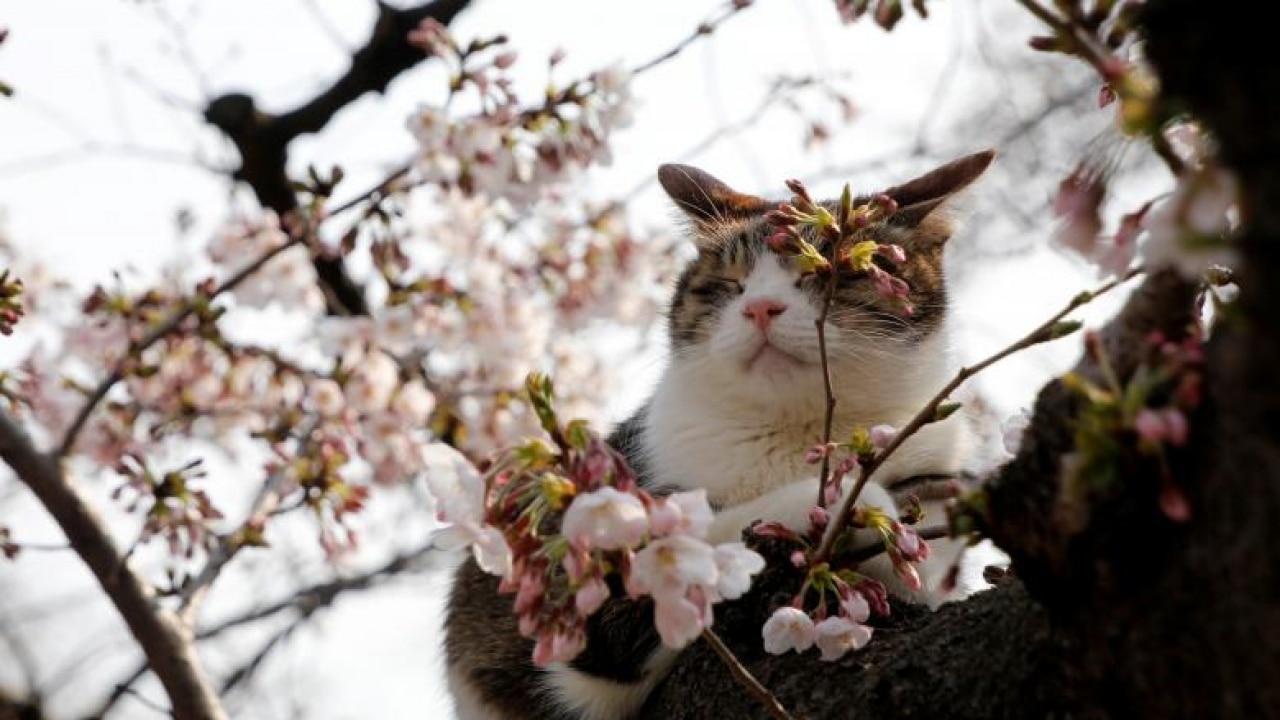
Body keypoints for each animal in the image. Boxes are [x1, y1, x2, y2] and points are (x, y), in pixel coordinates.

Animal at [445, 148, 993, 712]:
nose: (759, 308)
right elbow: (697, 536)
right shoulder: (589, 613)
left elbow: (926, 564)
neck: (797, 433)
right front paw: (854, 505)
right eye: (731, 284)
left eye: (830, 273)